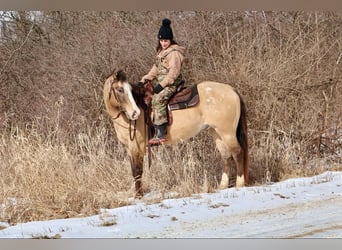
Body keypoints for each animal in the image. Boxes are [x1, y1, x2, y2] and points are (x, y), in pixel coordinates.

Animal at [102, 70, 248, 197]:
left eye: (130, 91)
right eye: (120, 90)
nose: (135, 113)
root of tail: (232, 90)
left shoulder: (137, 147)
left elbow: (138, 171)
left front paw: (139, 196)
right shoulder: (129, 148)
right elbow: (134, 170)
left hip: (227, 133)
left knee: (237, 153)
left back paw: (240, 184)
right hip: (216, 132)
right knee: (226, 156)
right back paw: (222, 186)